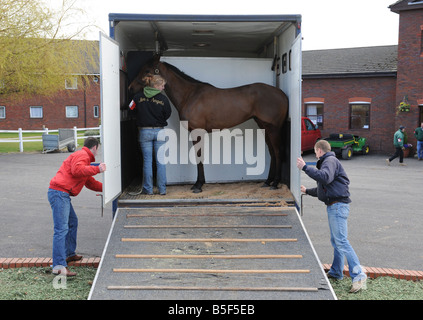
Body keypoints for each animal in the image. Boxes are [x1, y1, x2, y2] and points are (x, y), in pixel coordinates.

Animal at [127, 55, 290, 192]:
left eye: (147, 70)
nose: (130, 88)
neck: (189, 95)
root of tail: (281, 94)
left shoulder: (197, 131)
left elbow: (199, 156)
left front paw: (198, 185)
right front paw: (199, 183)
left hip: (273, 129)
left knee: (277, 151)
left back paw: (275, 183)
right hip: (264, 127)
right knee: (272, 152)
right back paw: (267, 182)